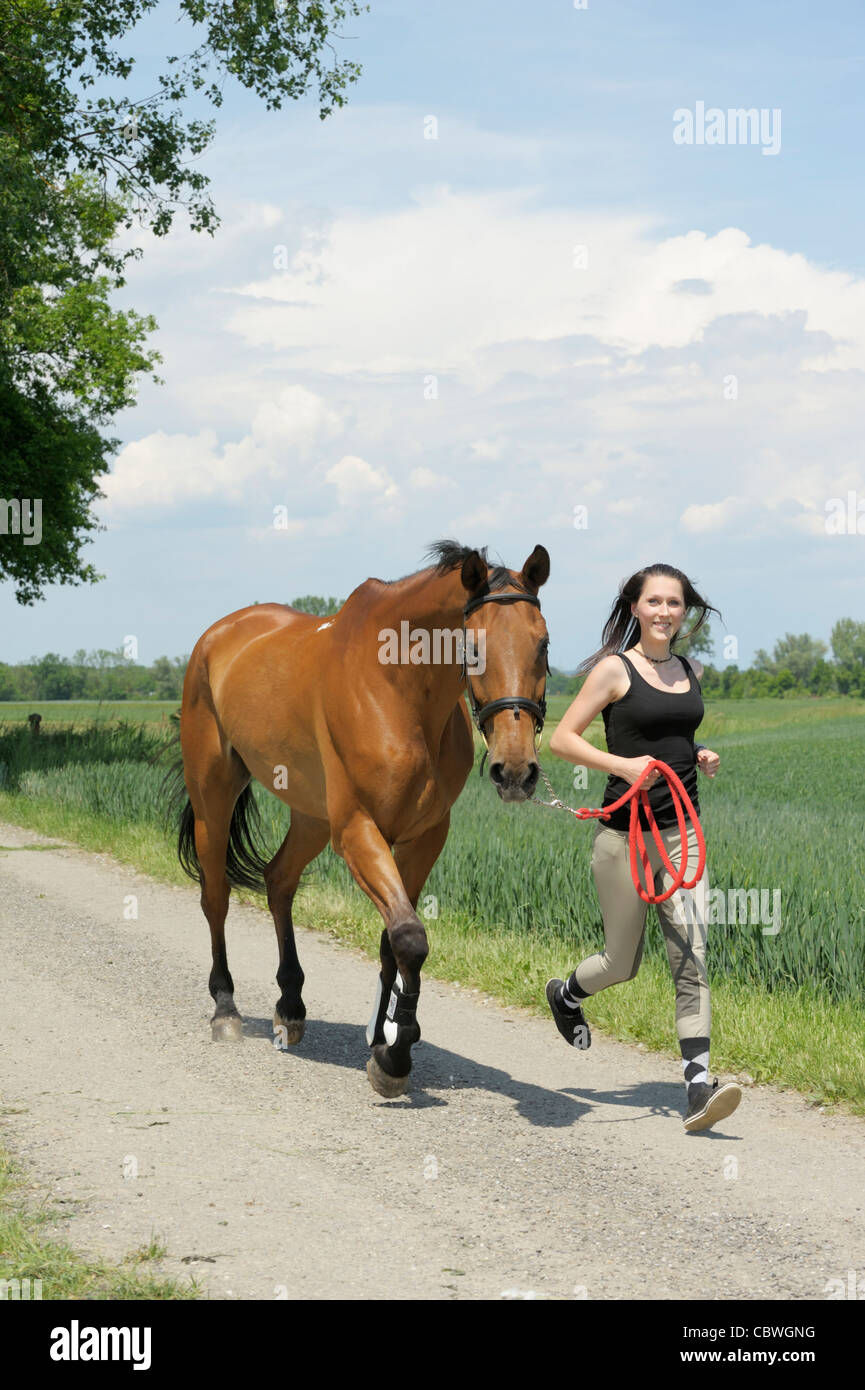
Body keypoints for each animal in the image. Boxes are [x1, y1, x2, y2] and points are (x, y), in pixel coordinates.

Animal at [173, 536, 553, 1089]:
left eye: (542, 644)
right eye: (472, 647)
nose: (516, 771)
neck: (396, 689)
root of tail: (216, 637)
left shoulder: (424, 836)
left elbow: (392, 941)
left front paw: (384, 1037)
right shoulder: (358, 830)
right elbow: (410, 938)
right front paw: (395, 1058)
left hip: (311, 817)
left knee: (279, 879)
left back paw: (291, 1006)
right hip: (214, 798)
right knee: (216, 897)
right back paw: (226, 1009)